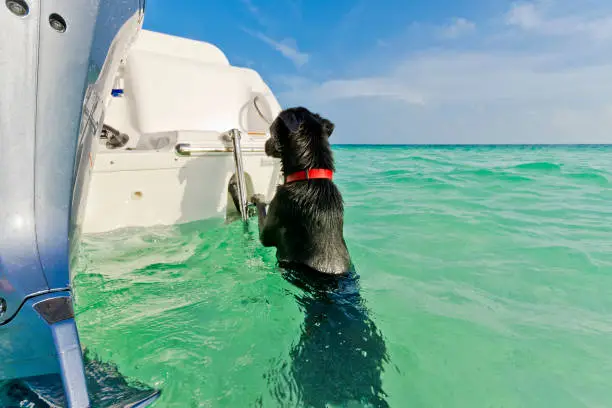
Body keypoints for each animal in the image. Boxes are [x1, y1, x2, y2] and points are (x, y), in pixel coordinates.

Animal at [250, 107, 354, 276]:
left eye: (272, 130)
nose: (264, 144)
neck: (308, 176)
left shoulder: (272, 218)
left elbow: (261, 210)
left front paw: (258, 197)